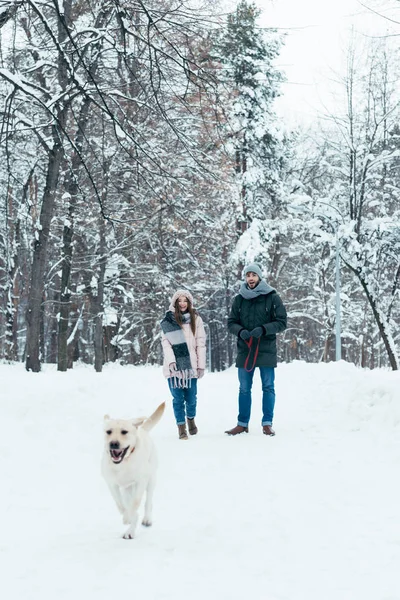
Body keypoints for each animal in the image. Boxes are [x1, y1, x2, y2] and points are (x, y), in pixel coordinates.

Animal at [103, 404, 166, 540]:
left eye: (124, 432)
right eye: (108, 431)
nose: (113, 444)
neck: (123, 464)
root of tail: (141, 429)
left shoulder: (141, 481)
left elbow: (135, 503)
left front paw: (131, 517)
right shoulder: (112, 484)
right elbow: (120, 504)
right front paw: (126, 517)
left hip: (151, 480)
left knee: (148, 502)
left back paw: (145, 520)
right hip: (127, 489)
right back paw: (130, 530)